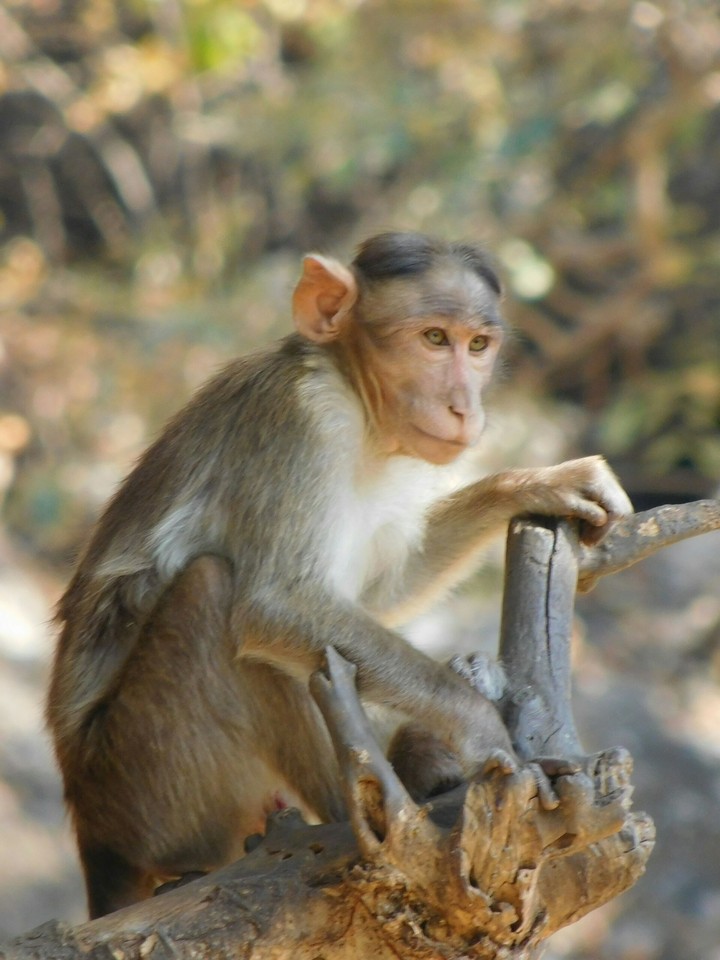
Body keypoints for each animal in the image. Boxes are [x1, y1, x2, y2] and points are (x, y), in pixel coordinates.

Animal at [46, 231, 632, 919]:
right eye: (434, 338)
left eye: (477, 346)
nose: (464, 406)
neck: (356, 398)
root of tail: (93, 836)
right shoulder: (302, 416)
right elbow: (275, 603)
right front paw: (484, 733)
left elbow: (386, 586)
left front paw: (537, 483)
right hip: (148, 786)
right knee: (209, 595)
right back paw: (367, 803)